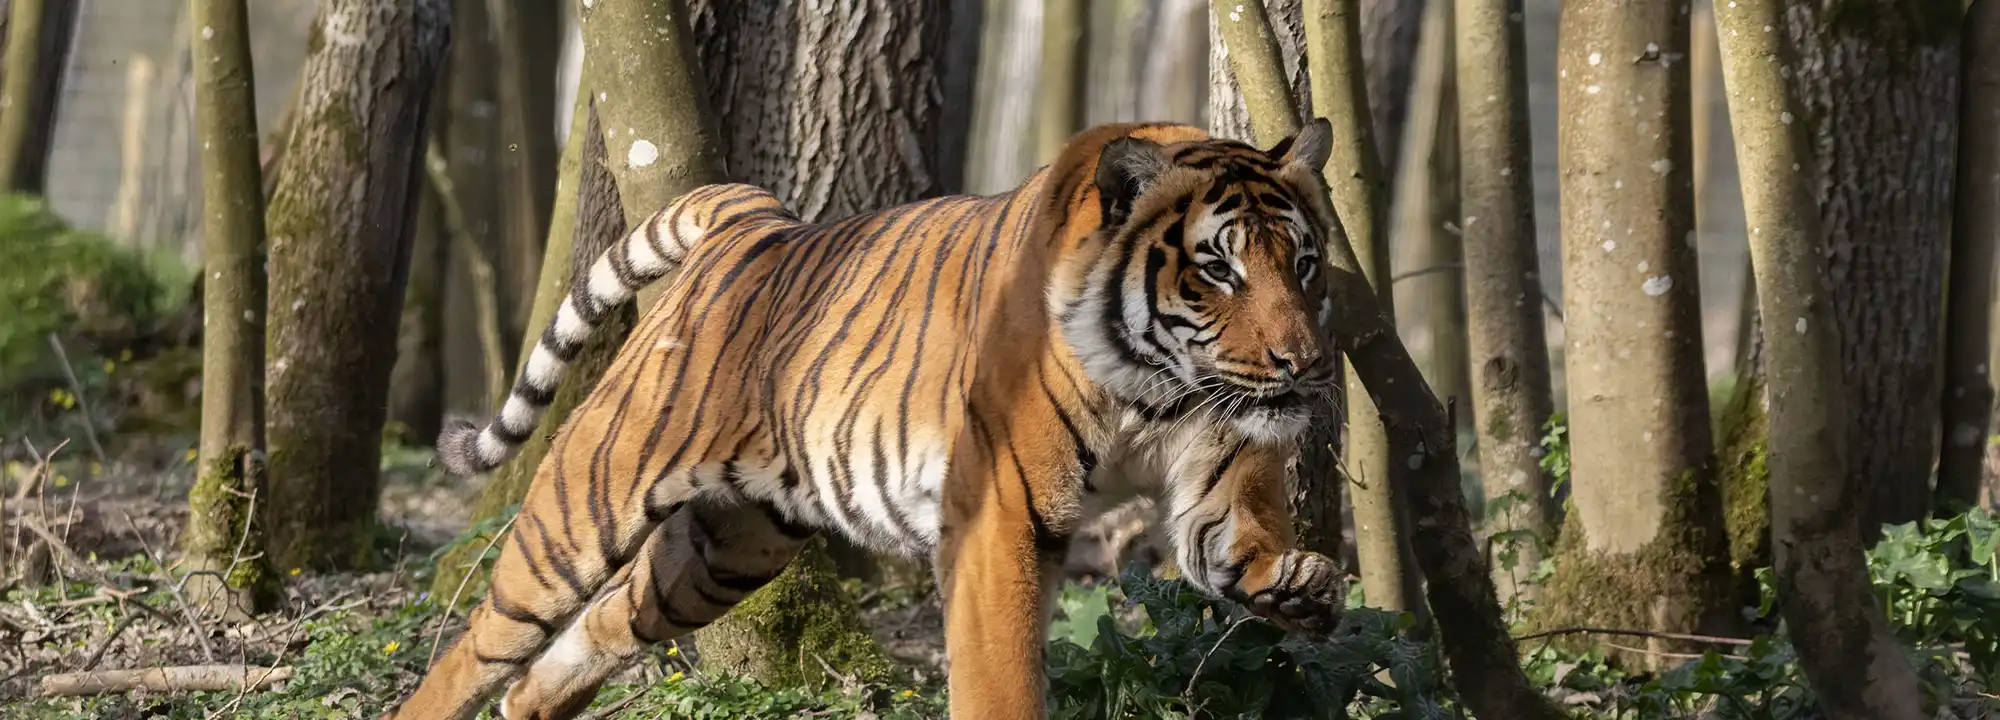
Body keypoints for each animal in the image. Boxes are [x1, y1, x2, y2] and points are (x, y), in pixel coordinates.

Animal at [387, 118, 1350, 720]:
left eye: (1304, 263)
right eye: (1217, 270)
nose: (1302, 363)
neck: (1156, 387)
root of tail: (756, 222)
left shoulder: (1218, 465)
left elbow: (1233, 543)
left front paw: (1302, 585)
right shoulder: (1003, 514)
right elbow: (1000, 675)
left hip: (726, 548)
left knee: (587, 637)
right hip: (584, 502)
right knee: (479, 649)